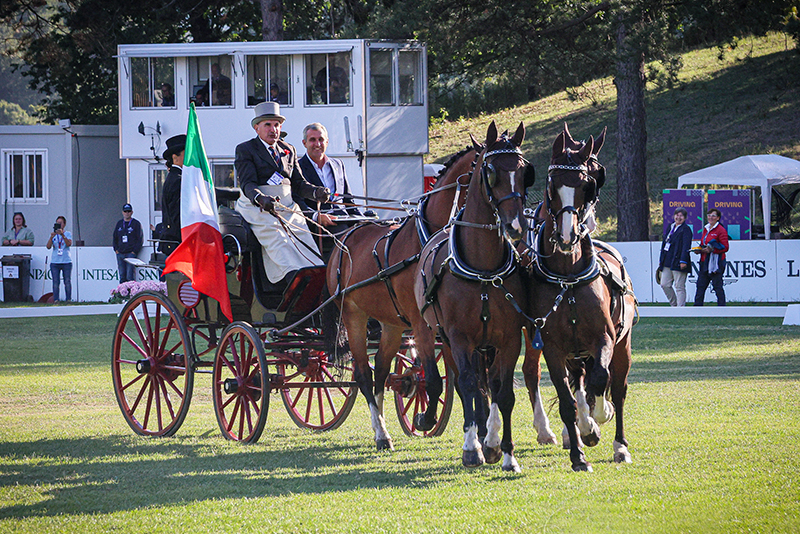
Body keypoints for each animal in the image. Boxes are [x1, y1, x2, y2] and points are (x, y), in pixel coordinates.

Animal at [326, 142, 478, 452]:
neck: (427, 242)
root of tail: (342, 239)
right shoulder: (422, 325)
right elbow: (434, 380)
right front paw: (425, 419)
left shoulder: (448, 326)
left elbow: (459, 379)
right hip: (353, 315)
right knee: (363, 374)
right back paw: (382, 435)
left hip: (391, 324)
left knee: (381, 373)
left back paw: (381, 427)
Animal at [418, 122, 532, 474]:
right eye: (490, 172)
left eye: (524, 171)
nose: (516, 225)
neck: (483, 267)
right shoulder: (458, 337)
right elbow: (468, 384)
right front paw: (472, 448)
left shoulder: (509, 339)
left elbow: (502, 392)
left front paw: (504, 452)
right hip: (433, 333)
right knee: (457, 381)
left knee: (486, 384)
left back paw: (486, 434)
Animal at [524, 124, 636, 474]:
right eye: (552, 183)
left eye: (589, 183)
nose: (567, 235)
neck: (568, 277)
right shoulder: (552, 347)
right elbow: (567, 399)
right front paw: (579, 452)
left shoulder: (605, 338)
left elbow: (601, 380)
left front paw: (599, 418)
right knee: (565, 382)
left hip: (622, 346)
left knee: (617, 386)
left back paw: (619, 444)